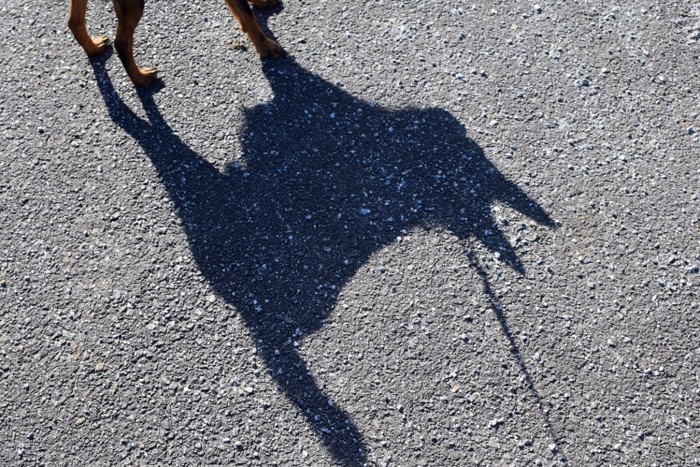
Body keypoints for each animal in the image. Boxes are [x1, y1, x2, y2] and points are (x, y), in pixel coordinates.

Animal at [66, 0, 284, 86]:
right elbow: (246, 14)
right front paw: (265, 46)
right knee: (121, 43)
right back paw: (140, 78)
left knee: (74, 22)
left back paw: (93, 48)